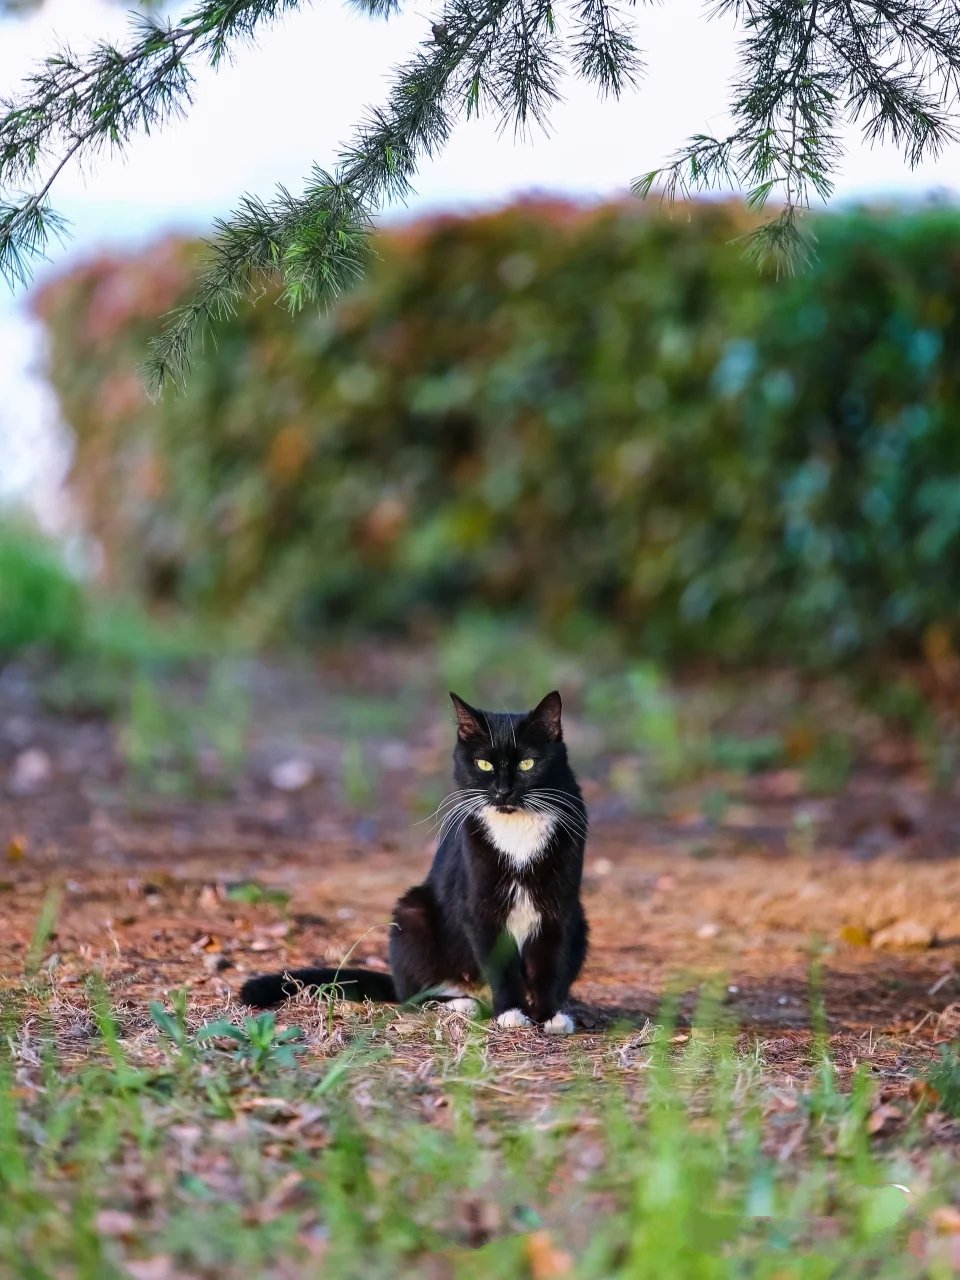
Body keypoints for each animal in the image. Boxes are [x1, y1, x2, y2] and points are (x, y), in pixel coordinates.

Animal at [239, 691, 586, 1029]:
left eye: (527, 763)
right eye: (484, 764)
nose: (503, 792)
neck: (516, 830)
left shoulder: (560, 906)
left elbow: (549, 964)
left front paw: (550, 1015)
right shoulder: (480, 903)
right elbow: (500, 964)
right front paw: (511, 1013)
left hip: (580, 921)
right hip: (412, 915)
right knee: (412, 995)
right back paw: (463, 1003)